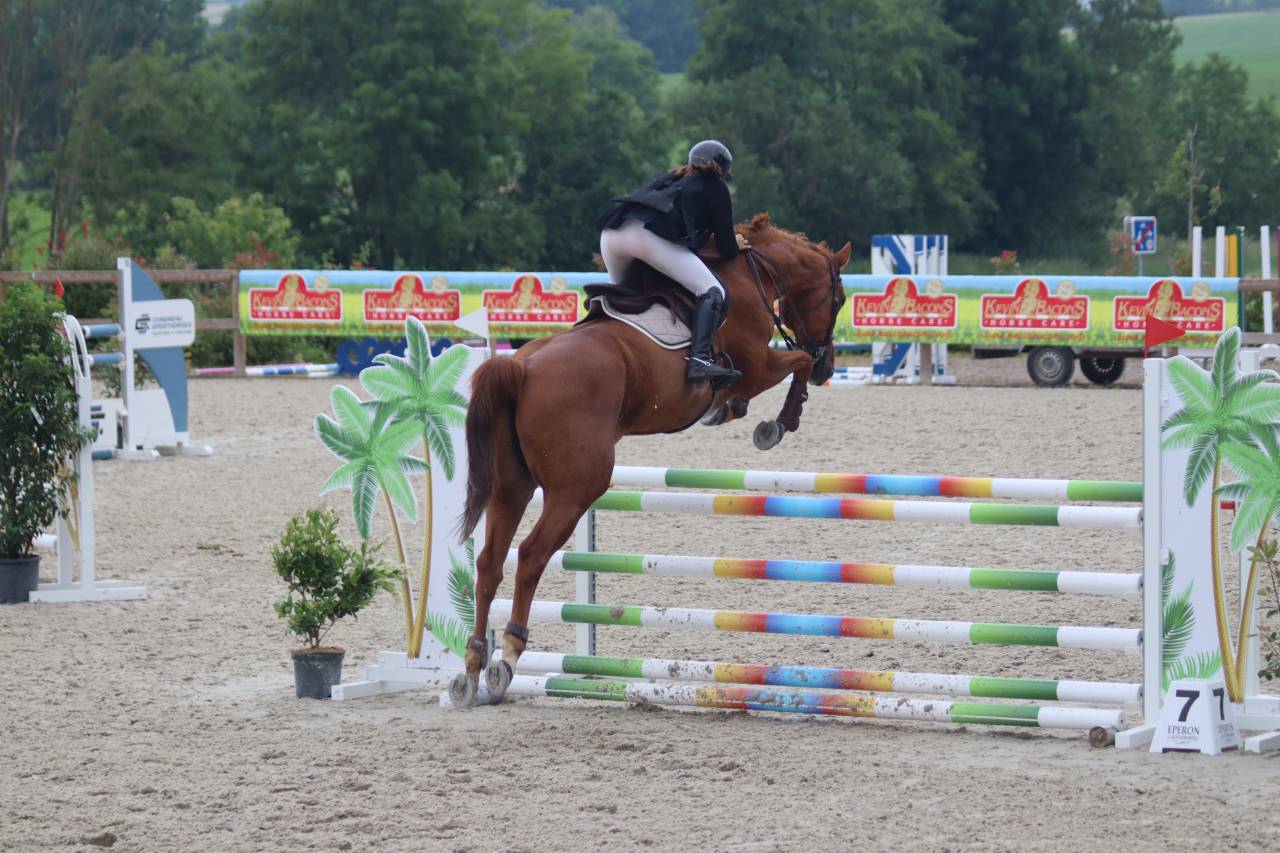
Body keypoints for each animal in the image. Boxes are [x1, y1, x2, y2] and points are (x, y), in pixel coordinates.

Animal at [451, 213, 850, 705]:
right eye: (839, 300)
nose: (828, 366)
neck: (751, 272)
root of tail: (520, 366)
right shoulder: (757, 365)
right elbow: (793, 363)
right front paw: (777, 423)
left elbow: (762, 383)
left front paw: (731, 409)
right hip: (577, 488)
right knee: (530, 554)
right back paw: (505, 656)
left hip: (512, 486)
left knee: (490, 561)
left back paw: (471, 668)